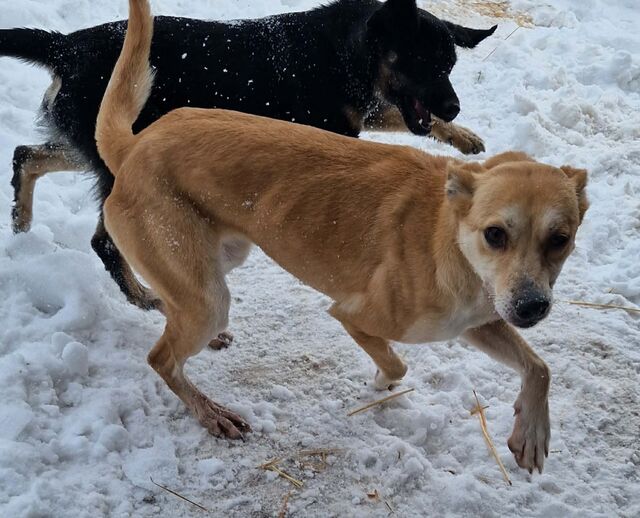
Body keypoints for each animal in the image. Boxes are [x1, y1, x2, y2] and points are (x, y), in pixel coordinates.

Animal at [1, 0, 496, 311]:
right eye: (421, 61)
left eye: (450, 65)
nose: (454, 106)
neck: (343, 51)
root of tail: (64, 46)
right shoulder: (335, 129)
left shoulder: (360, 114)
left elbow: (394, 114)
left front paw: (460, 135)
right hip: (116, 159)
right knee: (102, 241)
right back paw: (142, 296)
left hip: (98, 144)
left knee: (26, 156)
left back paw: (21, 223)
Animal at [94, 0, 588, 474]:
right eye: (495, 234)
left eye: (560, 238)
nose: (532, 307)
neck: (447, 238)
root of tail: (133, 145)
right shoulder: (355, 315)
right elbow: (397, 362)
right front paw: (381, 384)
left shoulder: (479, 322)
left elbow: (539, 367)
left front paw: (531, 433)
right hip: (205, 293)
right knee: (162, 358)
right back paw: (209, 411)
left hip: (219, 260)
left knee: (171, 311)